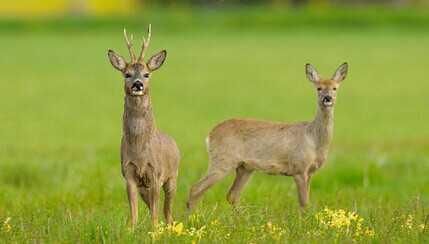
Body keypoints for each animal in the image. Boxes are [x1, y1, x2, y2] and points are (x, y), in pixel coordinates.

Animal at [108, 25, 181, 227]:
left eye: (147, 74)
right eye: (127, 74)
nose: (138, 84)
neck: (139, 150)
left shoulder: (156, 173)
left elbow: (156, 214)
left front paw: (155, 231)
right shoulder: (129, 174)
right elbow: (134, 214)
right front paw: (131, 230)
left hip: (173, 177)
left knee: (168, 212)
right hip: (145, 188)